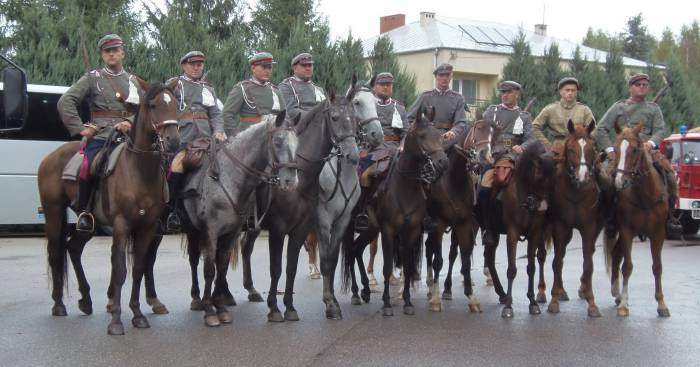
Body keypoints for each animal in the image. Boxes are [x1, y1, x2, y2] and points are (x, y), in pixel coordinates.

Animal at [182, 112, 296, 328]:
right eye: (277, 141)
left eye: (297, 143)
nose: (291, 181)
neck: (227, 178)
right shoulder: (211, 231)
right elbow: (209, 269)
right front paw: (210, 310)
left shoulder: (232, 231)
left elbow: (222, 266)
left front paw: (220, 306)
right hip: (192, 230)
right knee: (192, 259)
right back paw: (196, 298)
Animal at [344, 105, 452, 316]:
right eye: (422, 135)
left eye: (439, 136)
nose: (443, 163)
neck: (405, 187)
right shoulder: (388, 230)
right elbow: (387, 267)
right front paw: (387, 304)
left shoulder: (411, 230)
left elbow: (408, 267)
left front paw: (408, 302)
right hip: (352, 227)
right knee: (350, 251)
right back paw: (355, 292)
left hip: (371, 229)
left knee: (356, 250)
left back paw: (365, 290)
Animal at [544, 119, 604, 318]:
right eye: (570, 149)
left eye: (592, 149)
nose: (582, 177)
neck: (576, 192)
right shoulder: (559, 226)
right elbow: (556, 262)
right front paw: (553, 301)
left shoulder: (589, 228)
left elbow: (588, 263)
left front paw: (591, 302)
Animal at [604, 124, 668, 320]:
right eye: (616, 148)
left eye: (635, 149)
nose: (620, 181)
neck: (645, 196)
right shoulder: (627, 231)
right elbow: (628, 267)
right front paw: (624, 305)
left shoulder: (658, 234)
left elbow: (657, 267)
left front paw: (661, 304)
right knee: (617, 256)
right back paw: (617, 294)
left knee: (616, 254)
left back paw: (616, 293)